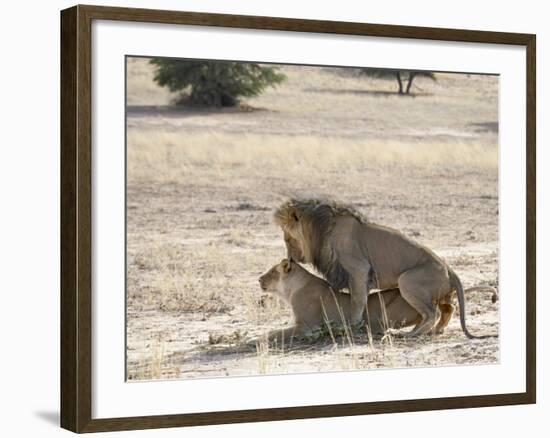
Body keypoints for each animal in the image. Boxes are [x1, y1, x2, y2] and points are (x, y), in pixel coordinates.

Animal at [260, 260, 498, 342]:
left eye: (271, 272)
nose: (259, 279)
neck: (291, 289)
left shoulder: (307, 326)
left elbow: (274, 333)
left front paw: (260, 338)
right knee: (448, 306)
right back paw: (435, 329)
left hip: (402, 301)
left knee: (436, 311)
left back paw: (410, 333)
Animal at [276, 198, 496, 338]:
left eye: (287, 238)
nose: (290, 258)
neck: (320, 230)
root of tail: (450, 270)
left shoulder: (358, 268)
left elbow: (357, 301)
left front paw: (352, 327)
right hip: (438, 292)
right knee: (448, 308)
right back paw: (435, 331)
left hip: (406, 280)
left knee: (431, 313)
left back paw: (410, 334)